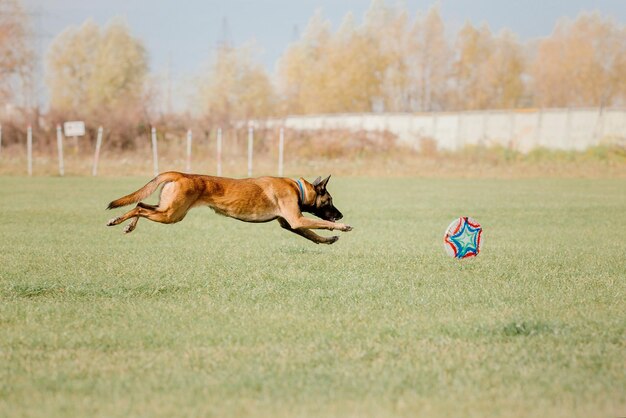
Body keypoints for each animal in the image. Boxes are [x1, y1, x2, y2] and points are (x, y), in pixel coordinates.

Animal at [106, 171, 352, 245]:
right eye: (329, 200)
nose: (340, 214)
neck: (299, 189)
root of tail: (180, 174)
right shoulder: (296, 220)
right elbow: (321, 223)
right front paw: (341, 227)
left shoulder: (290, 223)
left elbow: (312, 234)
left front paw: (327, 240)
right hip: (171, 214)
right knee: (139, 208)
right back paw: (117, 221)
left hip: (166, 208)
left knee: (140, 204)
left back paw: (127, 225)